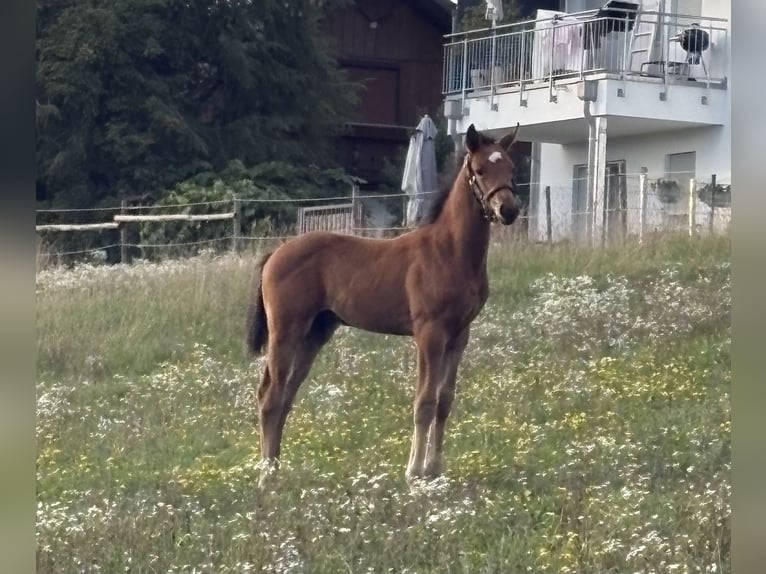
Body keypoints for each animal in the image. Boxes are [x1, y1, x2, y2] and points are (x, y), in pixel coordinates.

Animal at [245, 123, 521, 487]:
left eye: (511, 168)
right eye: (479, 170)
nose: (509, 210)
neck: (449, 251)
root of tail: (275, 253)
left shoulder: (460, 335)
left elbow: (445, 400)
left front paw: (435, 471)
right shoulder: (430, 334)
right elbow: (425, 402)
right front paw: (414, 474)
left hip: (316, 332)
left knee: (286, 397)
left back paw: (276, 469)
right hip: (286, 330)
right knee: (270, 397)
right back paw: (266, 478)